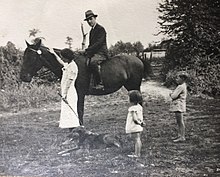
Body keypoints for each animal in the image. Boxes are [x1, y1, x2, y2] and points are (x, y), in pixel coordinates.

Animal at [20, 39, 148, 124]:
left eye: (31, 57)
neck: (70, 64)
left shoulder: (80, 93)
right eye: (24, 56)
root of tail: (138, 59)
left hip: (134, 86)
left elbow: (79, 109)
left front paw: (80, 126)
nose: (23, 77)